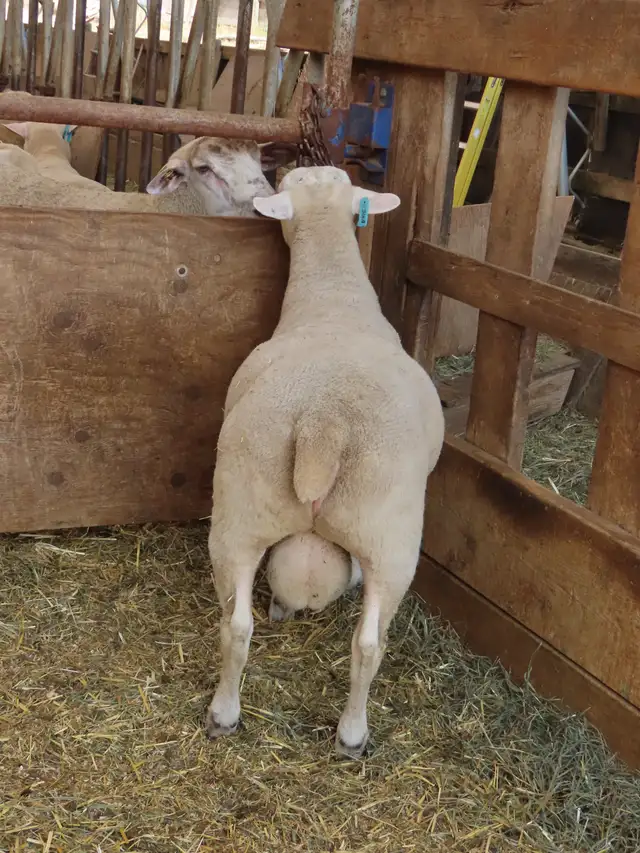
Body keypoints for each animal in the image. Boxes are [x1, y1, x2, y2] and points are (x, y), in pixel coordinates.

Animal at [205, 165, 445, 758]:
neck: (334, 302)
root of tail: (322, 424)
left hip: (240, 512)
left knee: (236, 625)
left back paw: (225, 711)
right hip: (391, 538)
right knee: (369, 643)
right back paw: (352, 732)